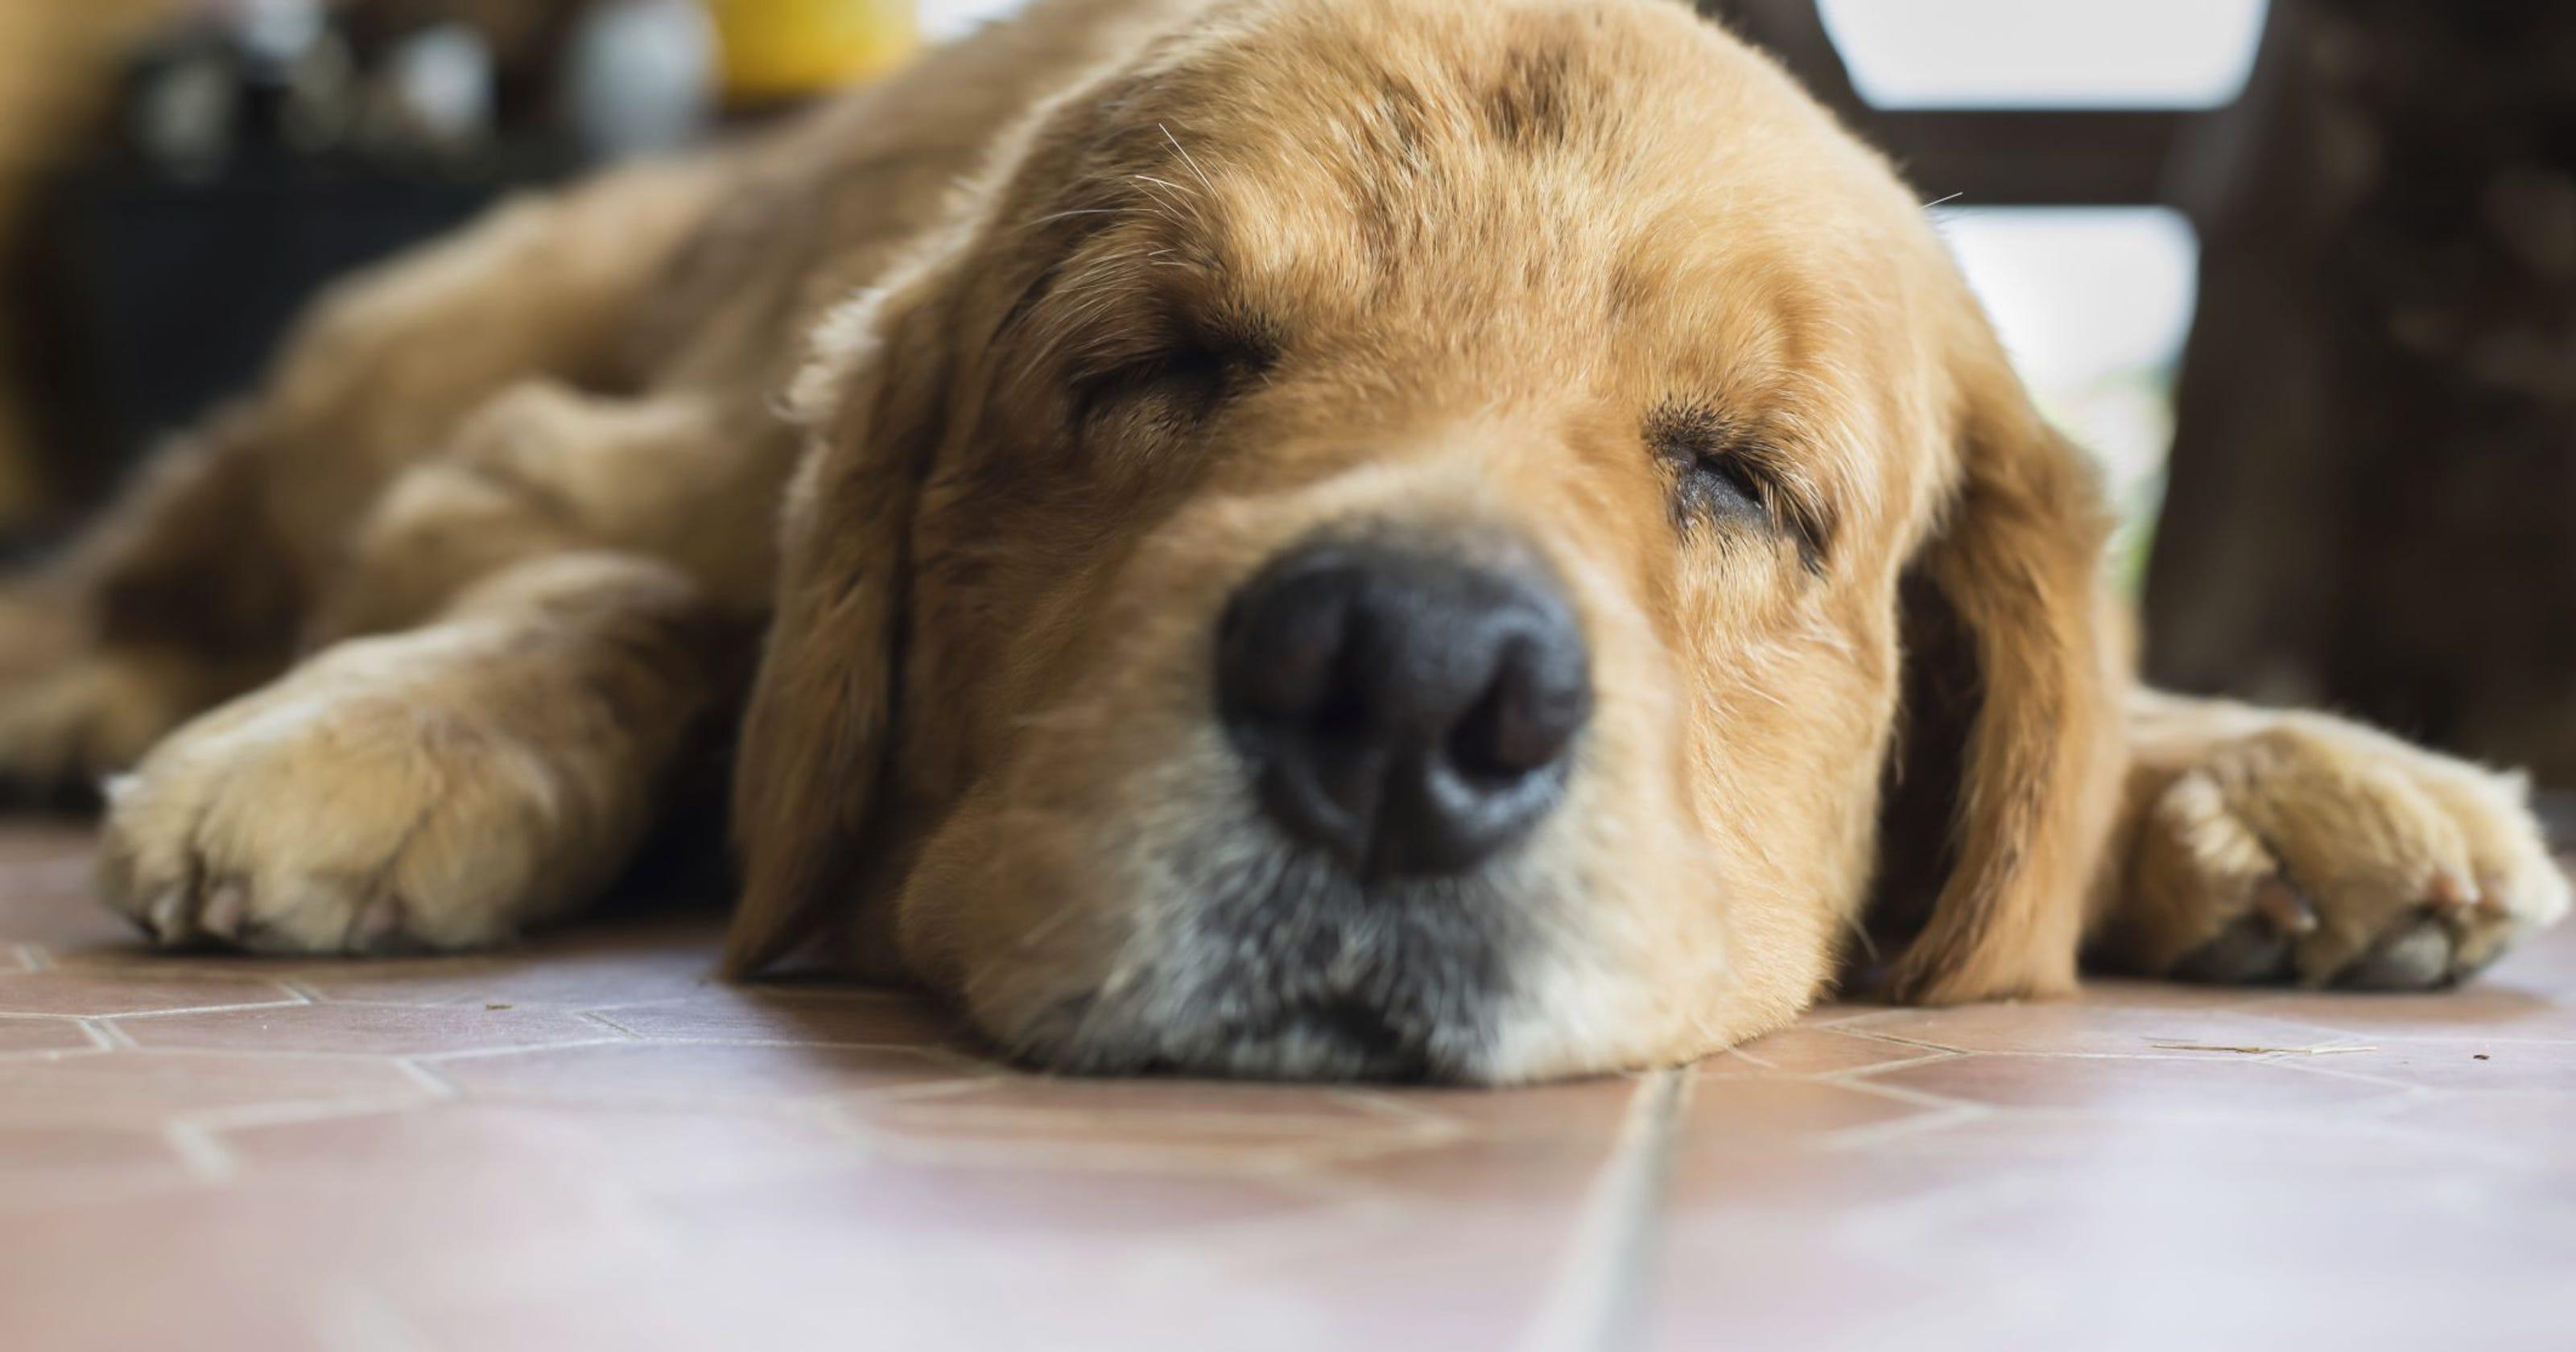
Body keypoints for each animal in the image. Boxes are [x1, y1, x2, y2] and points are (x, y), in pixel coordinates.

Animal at [5, 0, 2576, 1076]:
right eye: (1157, 364)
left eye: (1741, 477)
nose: (1406, 687)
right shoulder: (544, 469)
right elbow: (633, 594)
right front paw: (386, 742)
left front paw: (2274, 774)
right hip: (422, 345)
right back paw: (79, 671)